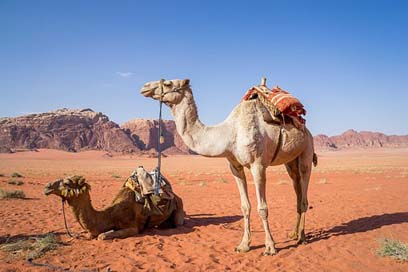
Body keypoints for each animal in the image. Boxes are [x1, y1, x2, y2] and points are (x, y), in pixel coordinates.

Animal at [45, 168, 185, 240]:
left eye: (67, 183)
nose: (47, 187)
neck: (110, 215)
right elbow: (91, 234)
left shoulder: (133, 227)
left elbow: (102, 236)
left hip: (179, 205)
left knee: (179, 222)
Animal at [142, 78, 318, 255]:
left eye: (168, 83)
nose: (145, 87)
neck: (229, 134)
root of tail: (306, 129)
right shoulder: (235, 167)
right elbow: (245, 206)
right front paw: (244, 245)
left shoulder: (258, 165)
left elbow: (262, 208)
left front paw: (270, 247)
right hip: (291, 162)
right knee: (297, 191)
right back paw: (294, 233)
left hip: (306, 151)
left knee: (304, 194)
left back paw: (302, 237)